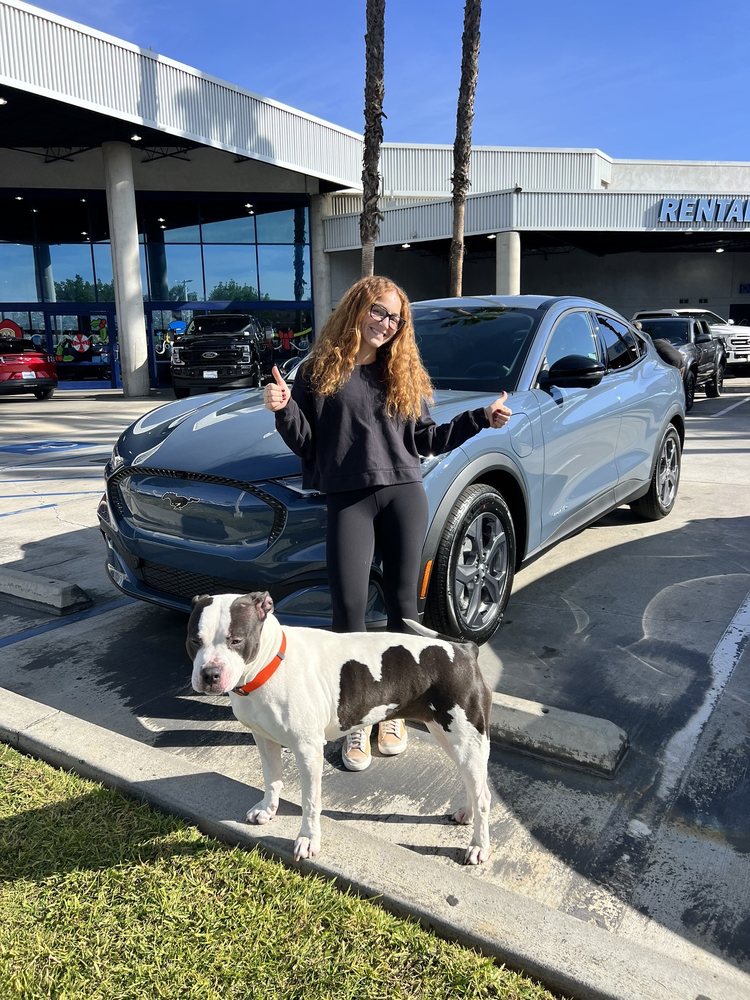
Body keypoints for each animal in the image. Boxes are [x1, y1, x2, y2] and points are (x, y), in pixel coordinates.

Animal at [188, 591, 492, 865]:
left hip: (466, 740)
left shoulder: (308, 751)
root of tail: (465, 650)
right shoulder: (264, 739)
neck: (269, 664)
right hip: (451, 737)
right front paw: (267, 809)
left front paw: (308, 839)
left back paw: (479, 846)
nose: (210, 674)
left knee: (483, 796)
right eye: (194, 640)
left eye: (236, 640)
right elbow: (271, 778)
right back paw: (467, 814)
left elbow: (310, 802)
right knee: (474, 785)